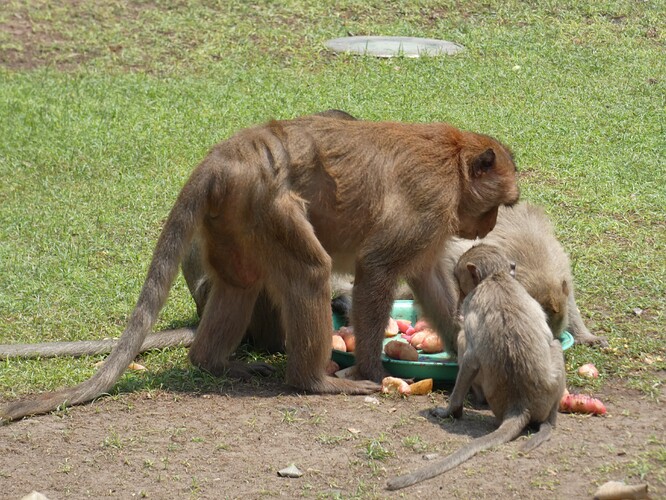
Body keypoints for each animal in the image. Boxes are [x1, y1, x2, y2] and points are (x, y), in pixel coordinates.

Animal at [1, 114, 520, 422]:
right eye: (500, 203)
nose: (490, 224)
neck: (453, 163)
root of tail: (222, 158)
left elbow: (430, 282)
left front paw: (466, 358)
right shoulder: (431, 201)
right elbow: (375, 269)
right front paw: (372, 370)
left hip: (231, 212)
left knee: (241, 283)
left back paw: (210, 361)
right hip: (263, 203)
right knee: (310, 271)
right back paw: (314, 382)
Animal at [386, 262, 564, 492]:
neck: (496, 279)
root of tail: (519, 405)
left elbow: (470, 357)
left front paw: (450, 411)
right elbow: (470, 355)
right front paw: (451, 411)